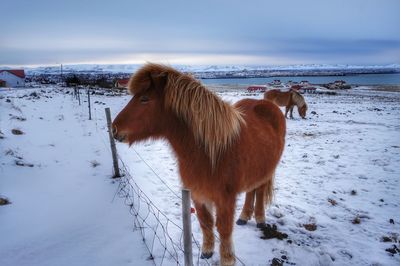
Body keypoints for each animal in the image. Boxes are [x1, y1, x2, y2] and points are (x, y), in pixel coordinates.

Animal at [112, 63, 286, 264]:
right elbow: (206, 222)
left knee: (260, 190)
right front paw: (207, 251)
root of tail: (269, 105)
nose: (114, 128)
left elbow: (224, 229)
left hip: (267, 170)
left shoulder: (225, 199)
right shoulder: (197, 194)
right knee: (252, 190)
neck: (210, 153)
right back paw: (243, 216)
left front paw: (227, 259)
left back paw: (260, 218)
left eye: (144, 99)